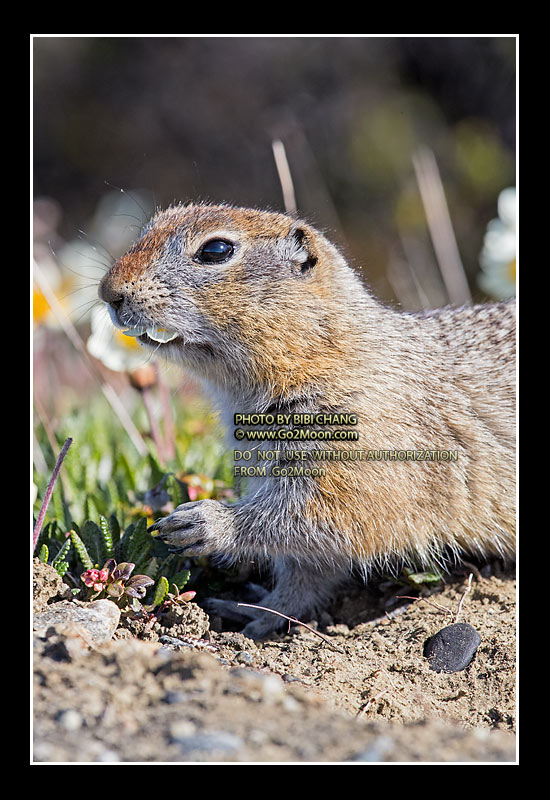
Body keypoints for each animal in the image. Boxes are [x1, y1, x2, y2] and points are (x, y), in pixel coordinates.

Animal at [99, 202, 516, 639]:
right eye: (148, 228)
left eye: (216, 250)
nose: (108, 291)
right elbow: (306, 573)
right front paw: (254, 611)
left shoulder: (360, 460)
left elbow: (324, 519)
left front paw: (204, 522)